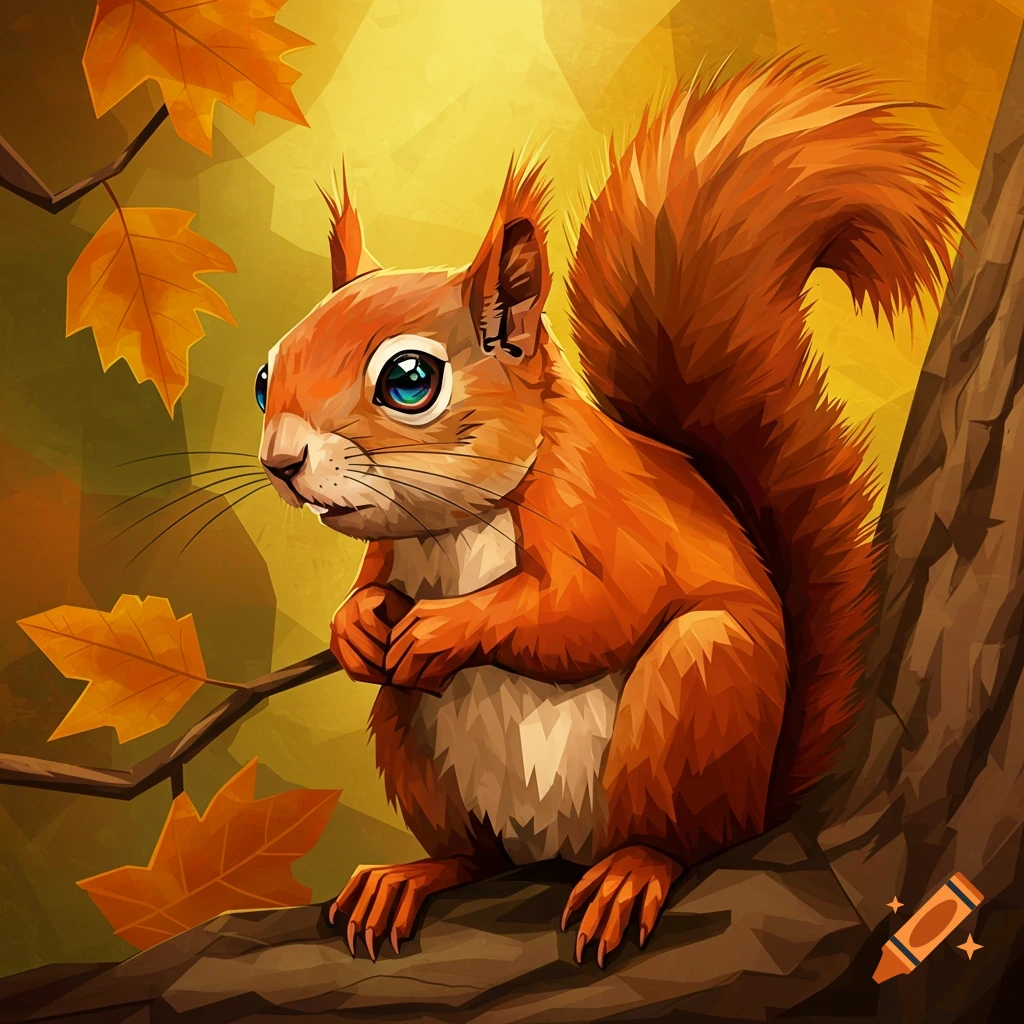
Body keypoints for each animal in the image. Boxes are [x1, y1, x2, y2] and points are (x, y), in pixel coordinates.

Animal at [256, 53, 959, 967]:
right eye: (266, 376)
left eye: (410, 380)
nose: (281, 463)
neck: (452, 527)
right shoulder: (392, 549)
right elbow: (371, 585)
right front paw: (356, 627)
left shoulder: (603, 514)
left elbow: (591, 610)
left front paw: (442, 627)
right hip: (412, 741)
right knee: (474, 855)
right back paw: (414, 875)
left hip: (695, 689)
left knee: (677, 838)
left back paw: (631, 871)